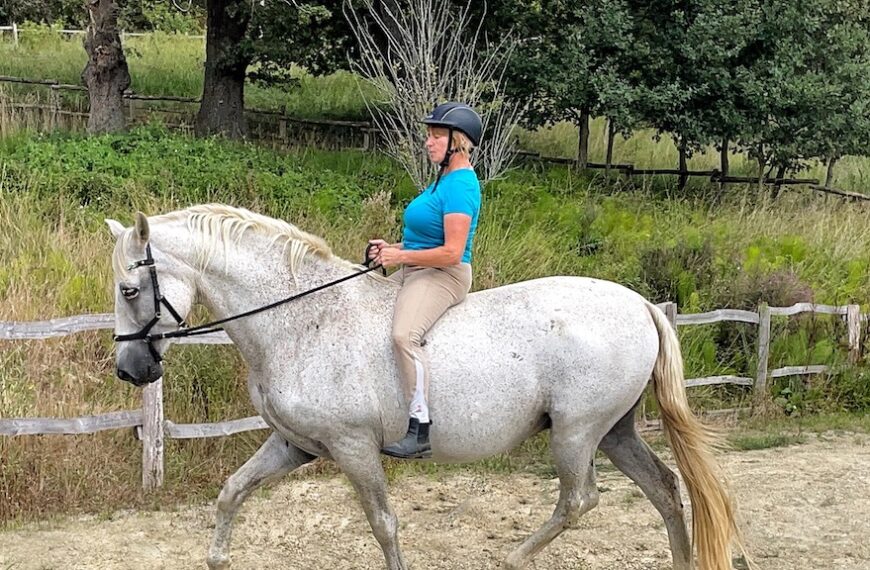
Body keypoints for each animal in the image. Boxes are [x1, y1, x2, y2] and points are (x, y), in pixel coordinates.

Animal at [107, 203, 743, 570]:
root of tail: (641, 304)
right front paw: (217, 558)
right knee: (665, 489)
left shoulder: (353, 449)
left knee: (579, 500)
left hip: (577, 433)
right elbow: (232, 492)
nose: (130, 370)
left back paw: (511, 558)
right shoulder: (295, 445)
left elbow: (384, 525)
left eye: (129, 290)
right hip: (614, 431)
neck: (303, 319)